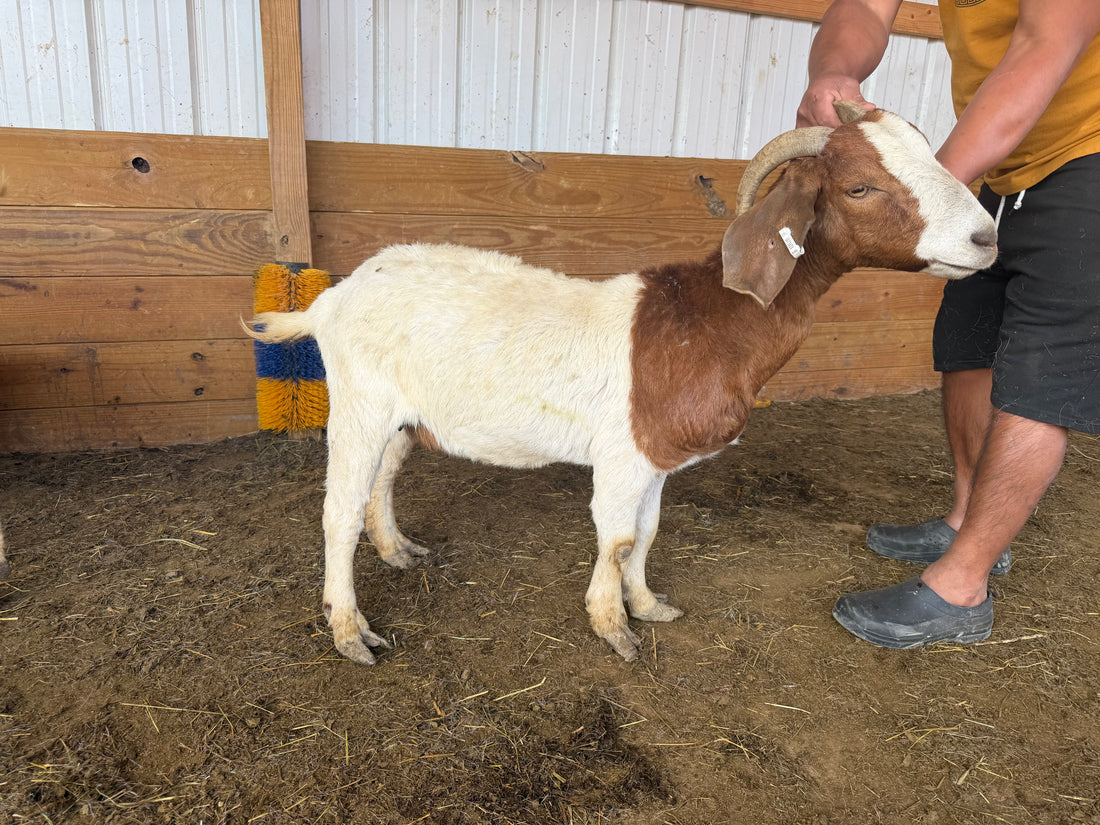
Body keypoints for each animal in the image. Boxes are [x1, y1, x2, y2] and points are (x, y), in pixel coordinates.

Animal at [246, 103, 997, 664]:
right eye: (860, 186)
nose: (986, 238)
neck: (709, 319)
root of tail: (331, 299)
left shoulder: (658, 456)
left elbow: (648, 531)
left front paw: (648, 604)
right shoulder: (622, 454)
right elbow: (615, 537)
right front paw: (612, 626)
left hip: (403, 413)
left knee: (383, 478)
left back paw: (398, 549)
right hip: (359, 403)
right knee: (338, 511)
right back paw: (350, 630)